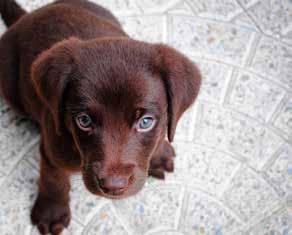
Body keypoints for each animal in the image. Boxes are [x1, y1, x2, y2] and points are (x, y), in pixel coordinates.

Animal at [0, 0, 201, 234]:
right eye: (84, 120)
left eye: (145, 122)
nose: (113, 186)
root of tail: (26, 17)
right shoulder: (53, 148)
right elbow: (54, 179)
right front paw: (51, 212)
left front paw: (159, 153)